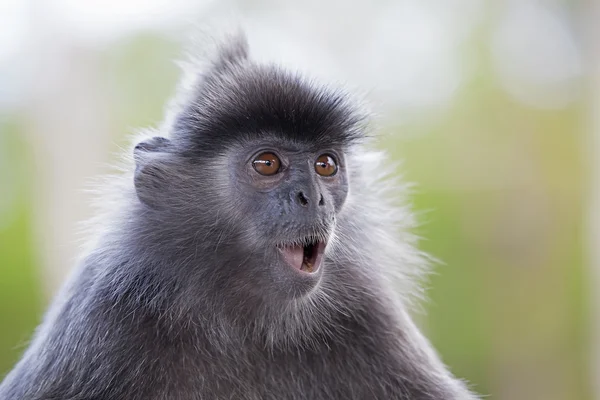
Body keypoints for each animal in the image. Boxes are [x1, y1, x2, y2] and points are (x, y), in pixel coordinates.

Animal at [0, 32, 478, 398]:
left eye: (326, 164)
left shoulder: (367, 308)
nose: (313, 197)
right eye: (267, 163)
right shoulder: (102, 311)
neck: (242, 324)